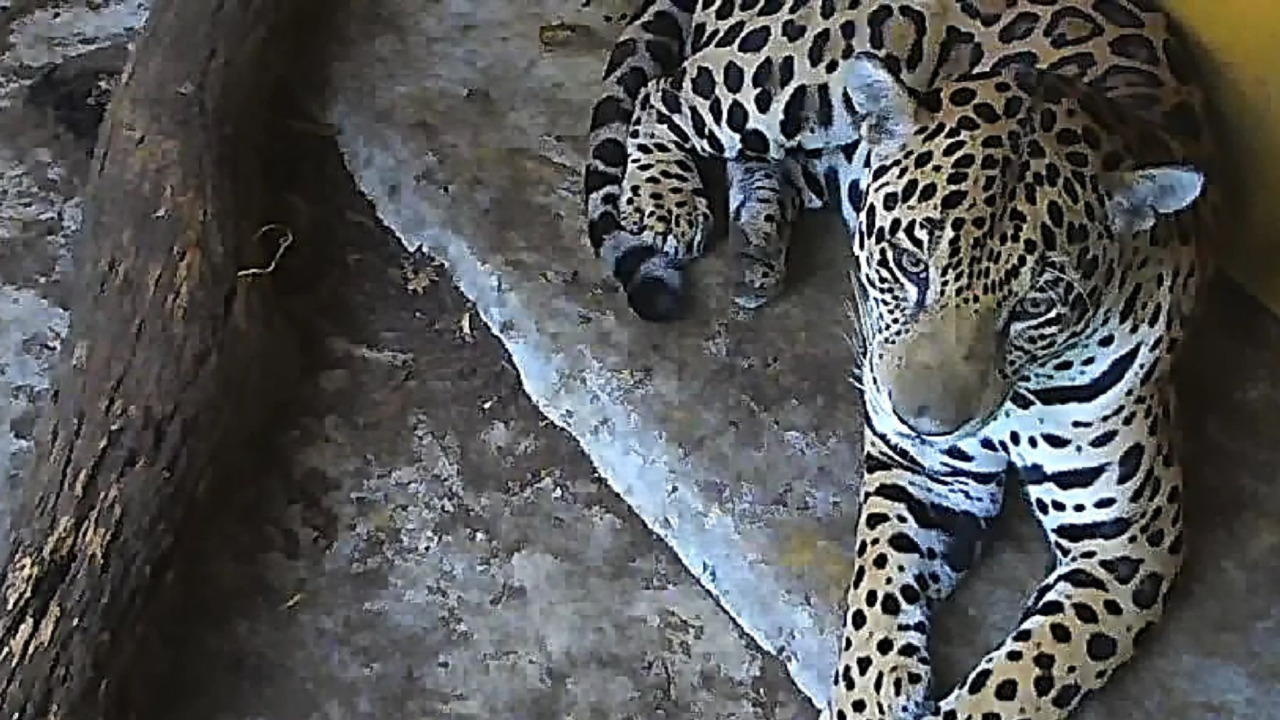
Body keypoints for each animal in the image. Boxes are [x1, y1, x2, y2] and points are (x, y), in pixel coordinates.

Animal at [581, 1, 1218, 719]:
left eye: (1035, 304)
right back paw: (665, 201)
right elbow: (879, 588)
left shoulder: (1127, 543)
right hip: (801, 70)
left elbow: (1028, 675)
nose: (925, 424)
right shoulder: (924, 472)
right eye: (911, 264)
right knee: (666, 95)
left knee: (766, 161)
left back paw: (758, 247)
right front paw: (869, 693)